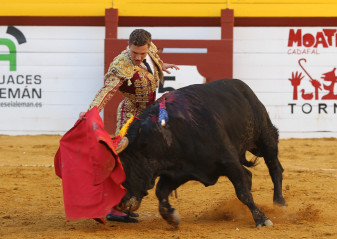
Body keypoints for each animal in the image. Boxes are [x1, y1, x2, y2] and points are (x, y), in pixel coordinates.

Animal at [114, 79, 284, 228]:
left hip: (265, 136)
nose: (119, 204)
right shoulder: (178, 171)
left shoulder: (229, 161)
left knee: (274, 168)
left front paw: (262, 219)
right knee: (250, 174)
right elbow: (160, 191)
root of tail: (243, 87)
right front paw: (171, 217)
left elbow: (243, 192)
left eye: (125, 169)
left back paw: (280, 203)